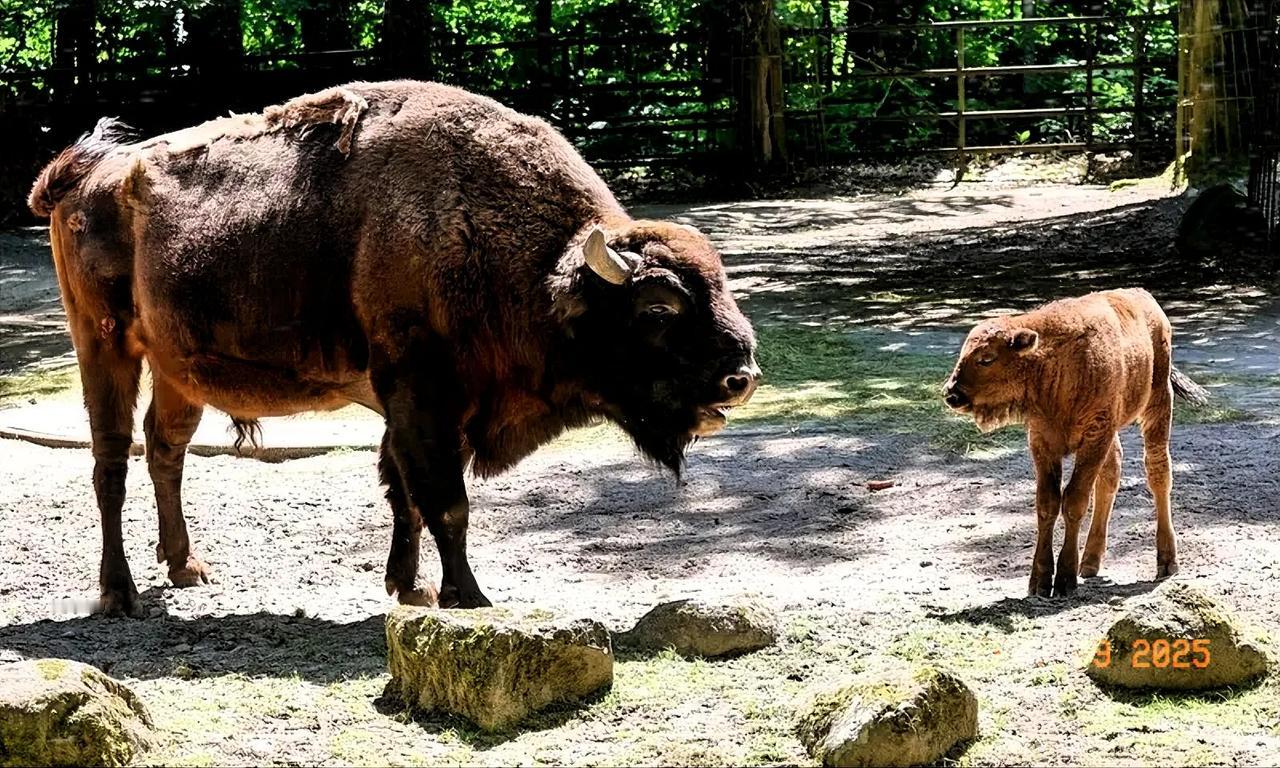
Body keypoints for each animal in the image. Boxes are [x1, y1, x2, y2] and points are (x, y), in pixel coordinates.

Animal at [30, 79, 757, 616]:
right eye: (658, 309)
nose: (741, 376)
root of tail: (81, 179)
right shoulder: (422, 394)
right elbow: (445, 500)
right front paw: (469, 597)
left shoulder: (435, 408)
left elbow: (406, 493)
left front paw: (410, 588)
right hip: (104, 346)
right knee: (110, 462)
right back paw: (119, 594)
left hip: (178, 371)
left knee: (166, 450)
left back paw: (187, 568)